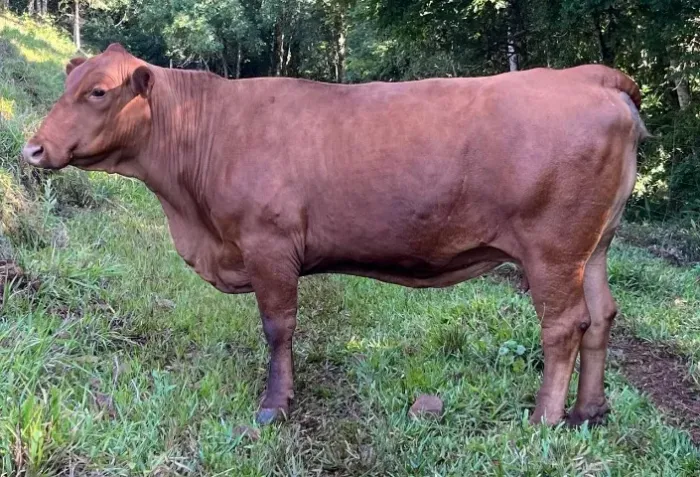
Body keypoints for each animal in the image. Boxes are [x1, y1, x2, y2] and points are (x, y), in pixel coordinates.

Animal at [22, 43, 648, 427]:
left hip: (553, 249)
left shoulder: (268, 244)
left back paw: (544, 419)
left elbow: (277, 328)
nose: (33, 148)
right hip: (595, 246)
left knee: (564, 326)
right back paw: (589, 412)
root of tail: (591, 75)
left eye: (99, 91)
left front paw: (274, 406)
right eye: (71, 82)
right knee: (602, 314)